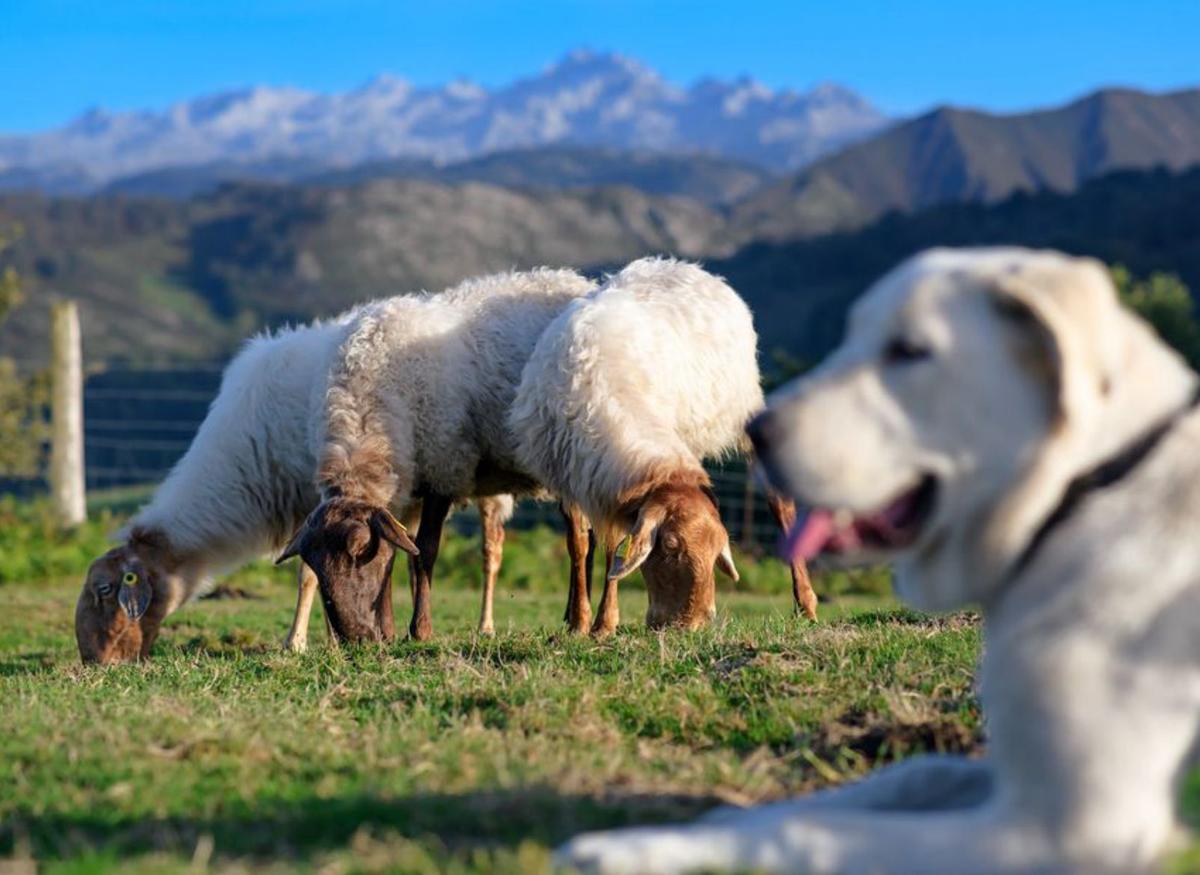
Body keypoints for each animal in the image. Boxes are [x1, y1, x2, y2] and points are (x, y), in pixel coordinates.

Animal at [506, 255, 816, 633]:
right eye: (668, 546)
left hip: (741, 406)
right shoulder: (574, 472)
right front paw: (581, 620)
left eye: (716, 551)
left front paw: (604, 622)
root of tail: (682, 265)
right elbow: (581, 544)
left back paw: (806, 603)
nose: (693, 624)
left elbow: (616, 545)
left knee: (779, 502)